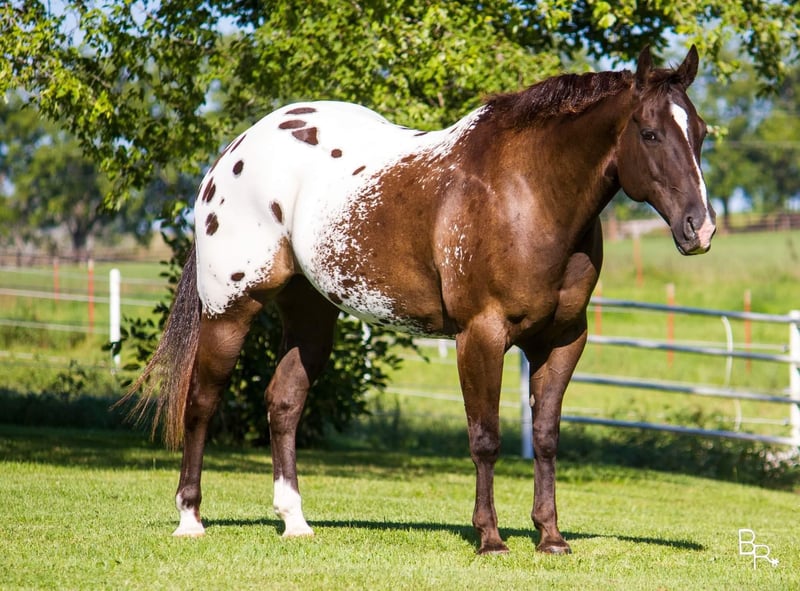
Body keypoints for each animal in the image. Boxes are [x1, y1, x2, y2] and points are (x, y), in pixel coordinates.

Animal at [128, 46, 716, 556]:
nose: (701, 227)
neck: (528, 193)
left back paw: (295, 521)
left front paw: (550, 538)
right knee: (201, 402)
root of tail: (233, 154)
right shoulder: (480, 334)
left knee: (285, 402)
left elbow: (546, 437)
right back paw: (190, 518)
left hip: (311, 312)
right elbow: (485, 438)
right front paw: (490, 539)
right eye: (650, 133)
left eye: (701, 133)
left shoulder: (563, 339)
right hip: (231, 309)